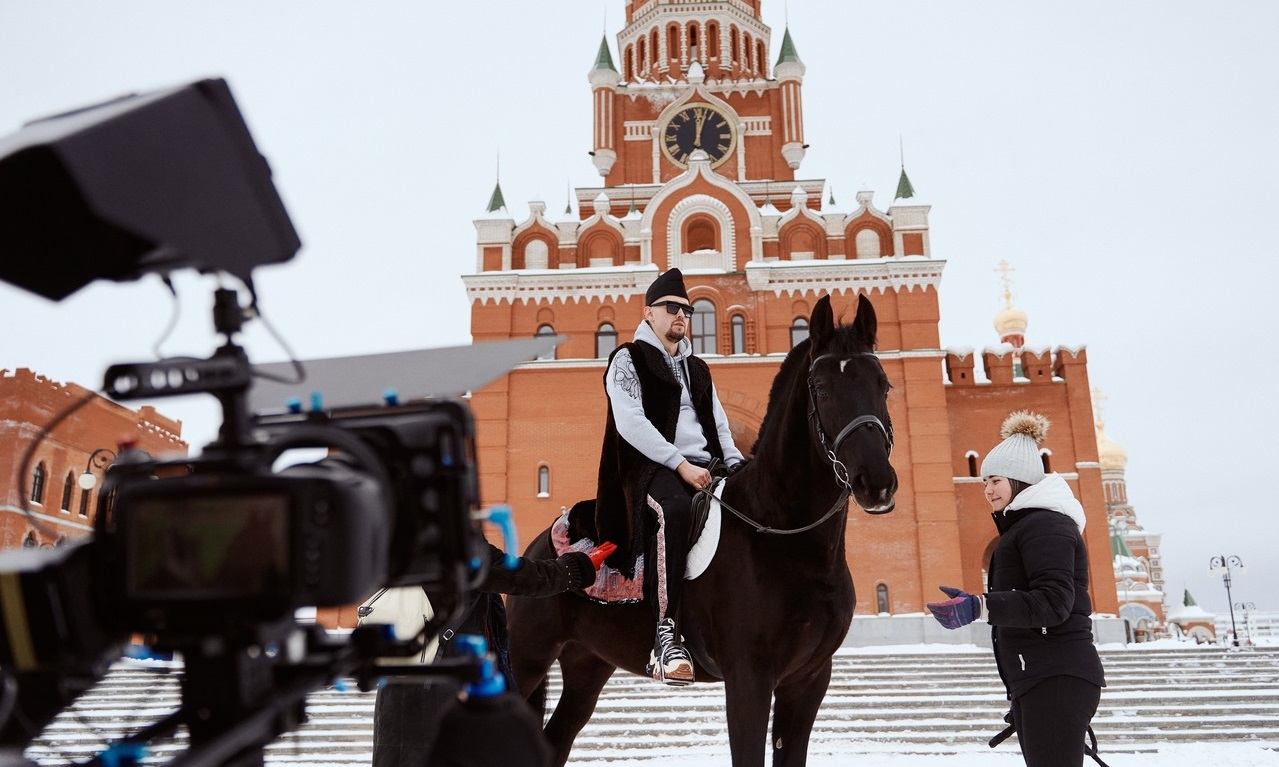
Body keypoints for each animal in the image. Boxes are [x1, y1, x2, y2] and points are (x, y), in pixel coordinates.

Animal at [503, 290, 895, 761]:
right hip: (526, 655)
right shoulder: (749, 679)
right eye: (820, 388)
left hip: (587, 664)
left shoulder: (808, 681)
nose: (876, 482)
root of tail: (542, 550)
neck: (785, 537)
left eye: (883, 384)